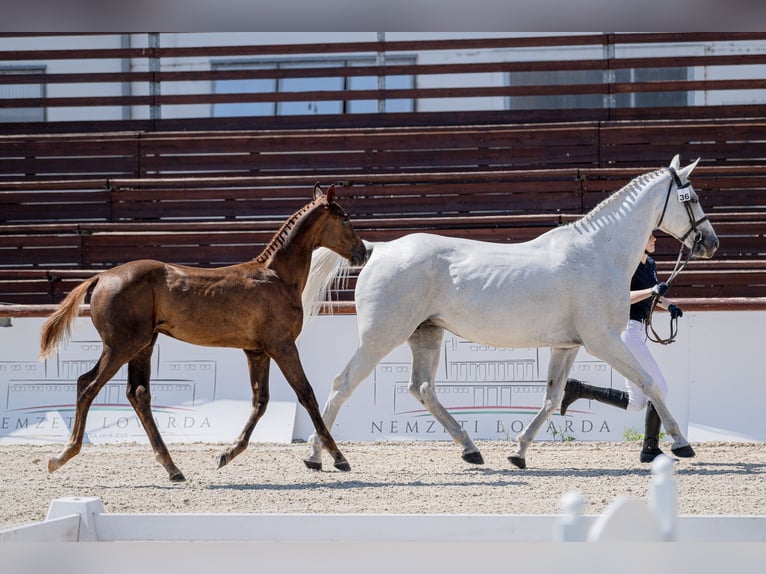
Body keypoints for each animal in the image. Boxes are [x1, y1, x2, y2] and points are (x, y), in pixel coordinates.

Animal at [39, 183, 367, 481]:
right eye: (345, 218)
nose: (362, 253)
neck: (276, 276)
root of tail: (102, 276)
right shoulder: (282, 346)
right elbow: (306, 394)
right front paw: (338, 458)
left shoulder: (256, 351)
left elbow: (260, 401)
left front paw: (226, 454)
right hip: (121, 346)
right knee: (88, 385)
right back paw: (61, 456)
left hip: (143, 345)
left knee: (137, 394)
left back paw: (172, 468)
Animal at [301, 156, 719, 470]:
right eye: (692, 197)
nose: (710, 243)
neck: (597, 252)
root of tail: (380, 250)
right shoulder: (603, 340)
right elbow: (649, 383)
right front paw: (682, 443)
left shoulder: (567, 346)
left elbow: (551, 398)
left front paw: (518, 452)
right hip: (381, 336)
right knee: (342, 383)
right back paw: (320, 457)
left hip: (426, 334)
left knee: (422, 388)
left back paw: (471, 449)